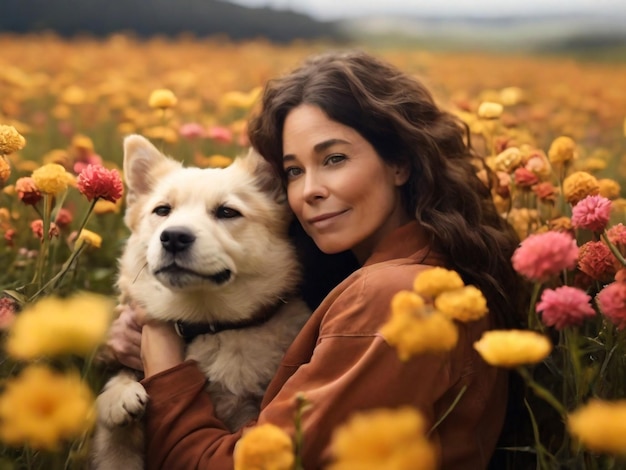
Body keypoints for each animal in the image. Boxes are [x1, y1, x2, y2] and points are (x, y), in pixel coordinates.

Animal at [90, 134, 310, 468]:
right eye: (163, 210)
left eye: (227, 212)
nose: (173, 237)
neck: (208, 324)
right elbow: (117, 442)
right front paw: (120, 393)